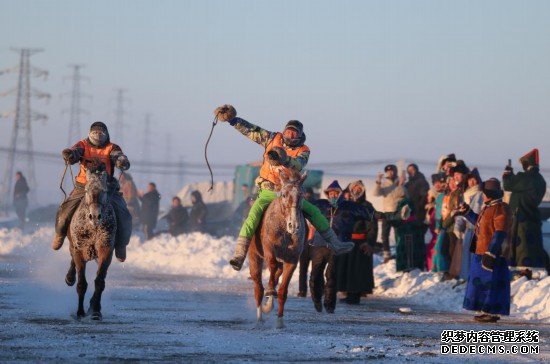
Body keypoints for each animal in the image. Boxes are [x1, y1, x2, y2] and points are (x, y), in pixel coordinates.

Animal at [66, 161, 117, 320]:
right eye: (87, 189)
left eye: (105, 190)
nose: (95, 216)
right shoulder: (79, 249)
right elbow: (82, 283)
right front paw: (80, 312)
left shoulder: (106, 250)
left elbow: (99, 282)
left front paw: (95, 311)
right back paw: (69, 278)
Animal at [249, 169, 308, 328]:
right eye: (284, 194)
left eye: (301, 195)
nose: (294, 225)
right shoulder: (269, 248)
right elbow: (272, 264)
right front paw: (270, 290)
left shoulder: (292, 259)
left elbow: (282, 291)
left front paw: (280, 321)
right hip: (254, 255)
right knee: (258, 286)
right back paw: (260, 315)